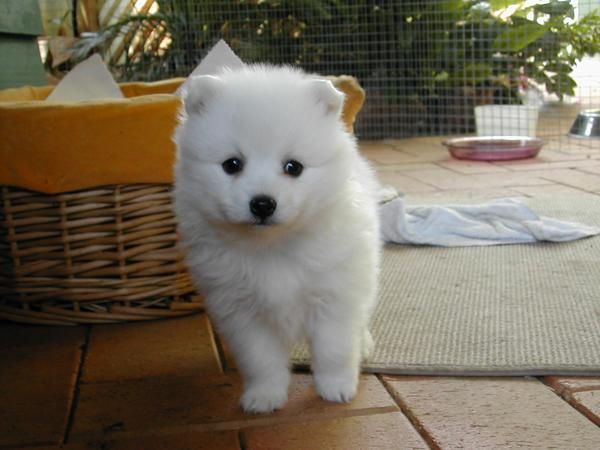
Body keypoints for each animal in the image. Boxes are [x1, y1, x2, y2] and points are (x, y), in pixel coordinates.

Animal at [173, 65, 380, 414]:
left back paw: (363, 344)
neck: (272, 246)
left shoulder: (334, 295)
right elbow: (261, 359)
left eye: (293, 167)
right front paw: (265, 396)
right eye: (232, 164)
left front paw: (336, 388)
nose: (262, 204)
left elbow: (334, 348)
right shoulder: (241, 310)